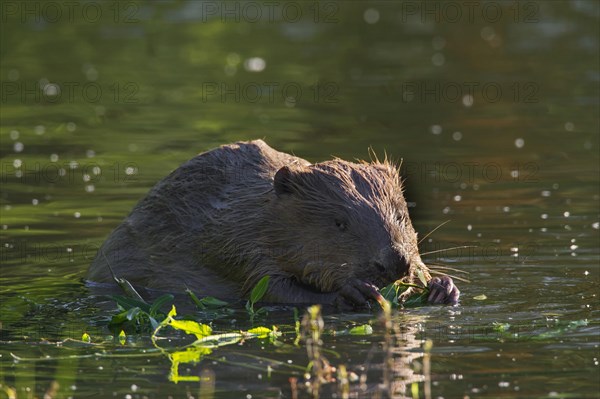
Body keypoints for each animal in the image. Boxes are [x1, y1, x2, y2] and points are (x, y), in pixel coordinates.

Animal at [86, 141, 460, 310]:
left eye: (399, 215)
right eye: (339, 223)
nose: (394, 262)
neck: (261, 211)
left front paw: (442, 286)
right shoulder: (234, 244)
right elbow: (270, 289)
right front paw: (355, 293)